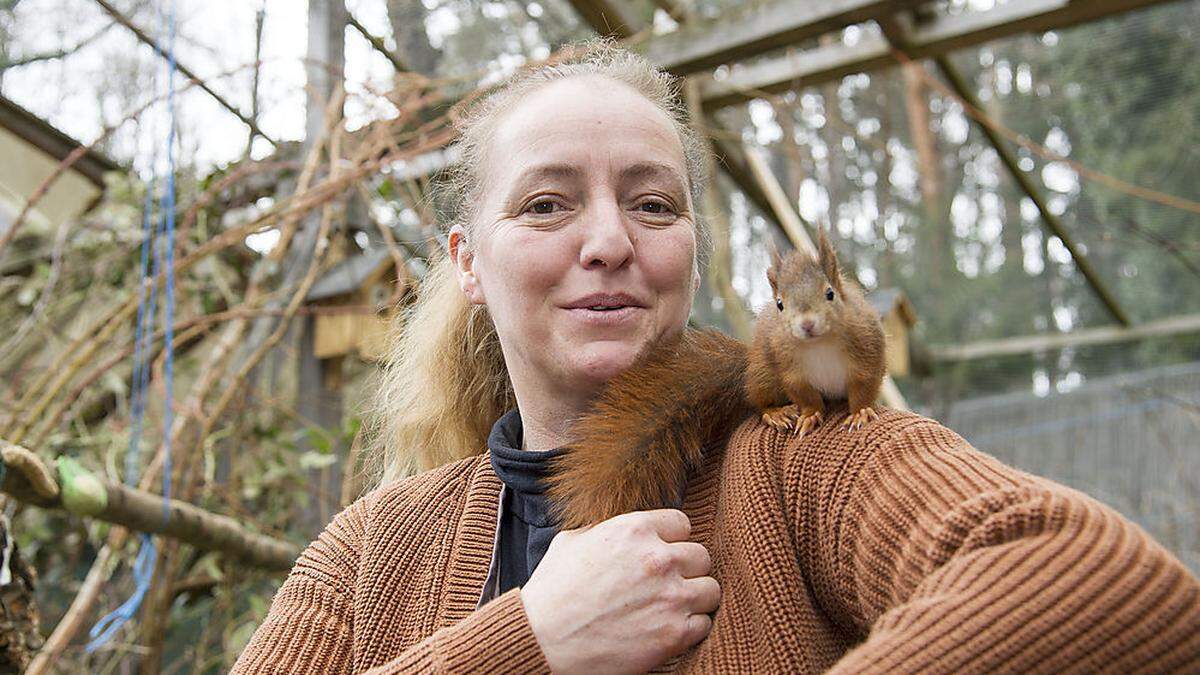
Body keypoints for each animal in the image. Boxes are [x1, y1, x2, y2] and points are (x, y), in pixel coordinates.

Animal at [549, 228, 888, 528]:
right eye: (780, 304)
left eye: (830, 294)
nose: (806, 325)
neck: (818, 345)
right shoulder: (789, 368)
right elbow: (805, 394)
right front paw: (810, 414)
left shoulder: (867, 351)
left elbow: (864, 386)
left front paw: (860, 412)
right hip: (764, 373)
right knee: (758, 398)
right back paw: (776, 413)